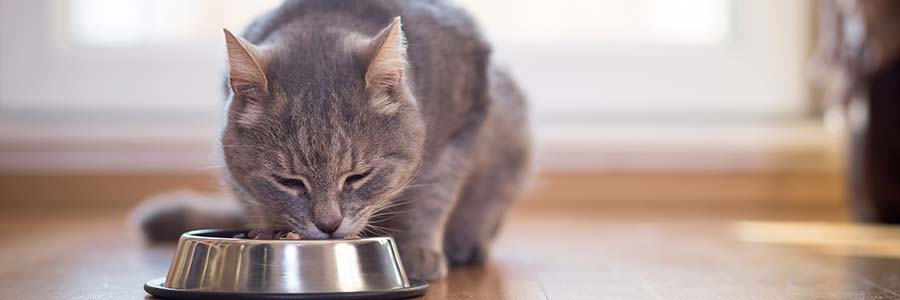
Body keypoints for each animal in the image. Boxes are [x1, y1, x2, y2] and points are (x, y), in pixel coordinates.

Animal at [130, 0, 532, 282]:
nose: (328, 226)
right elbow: (257, 199)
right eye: (288, 181)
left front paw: (418, 251)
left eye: (358, 176)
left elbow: (431, 197)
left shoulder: (459, 130)